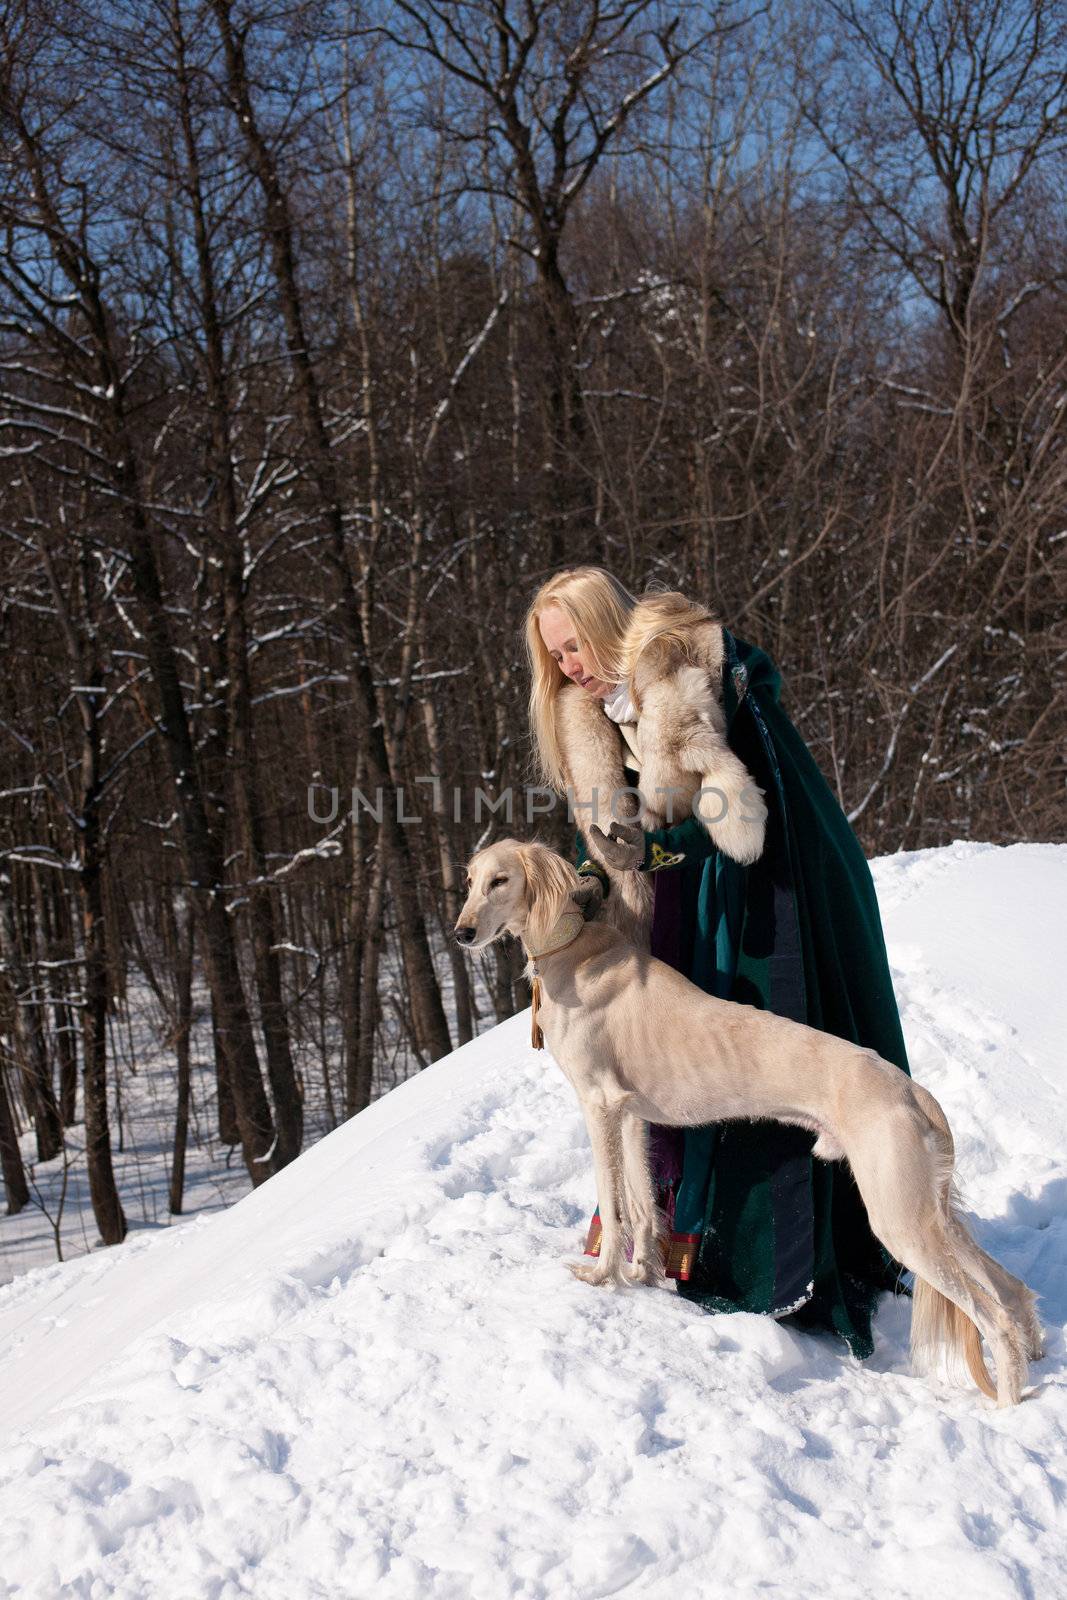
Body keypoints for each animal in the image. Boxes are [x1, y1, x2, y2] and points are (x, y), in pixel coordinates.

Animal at [454, 832, 1043, 1408]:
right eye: (471, 881)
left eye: (500, 880)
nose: (461, 933)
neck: (574, 950)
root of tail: (913, 1091)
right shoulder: (632, 1115)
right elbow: (643, 1205)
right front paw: (642, 1275)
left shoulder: (598, 1104)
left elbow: (614, 1205)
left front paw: (602, 1277)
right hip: (929, 1212)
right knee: (1011, 1289)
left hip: (901, 1220)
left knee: (994, 1317)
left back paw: (1008, 1402)